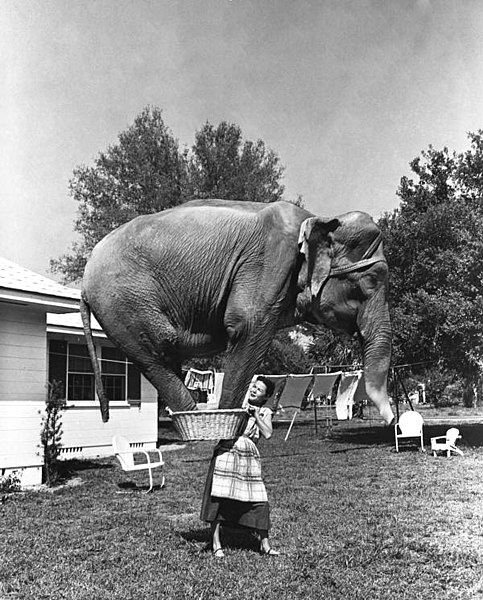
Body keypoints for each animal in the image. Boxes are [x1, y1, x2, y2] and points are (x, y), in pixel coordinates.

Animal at [79, 198, 396, 426]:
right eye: (369, 282)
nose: (393, 421)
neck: (317, 217)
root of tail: (84, 279)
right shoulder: (270, 264)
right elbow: (247, 328)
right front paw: (231, 425)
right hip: (122, 301)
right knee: (154, 353)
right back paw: (197, 419)